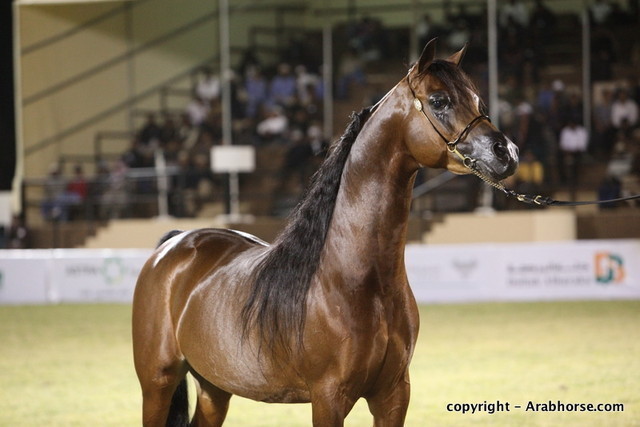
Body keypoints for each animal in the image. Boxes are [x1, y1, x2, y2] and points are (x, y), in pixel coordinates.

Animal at [132, 39, 519, 427]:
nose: (507, 152)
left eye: (479, 102)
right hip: (157, 384)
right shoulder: (328, 396)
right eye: (439, 101)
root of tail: (175, 243)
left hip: (214, 387)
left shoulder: (394, 393)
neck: (356, 282)